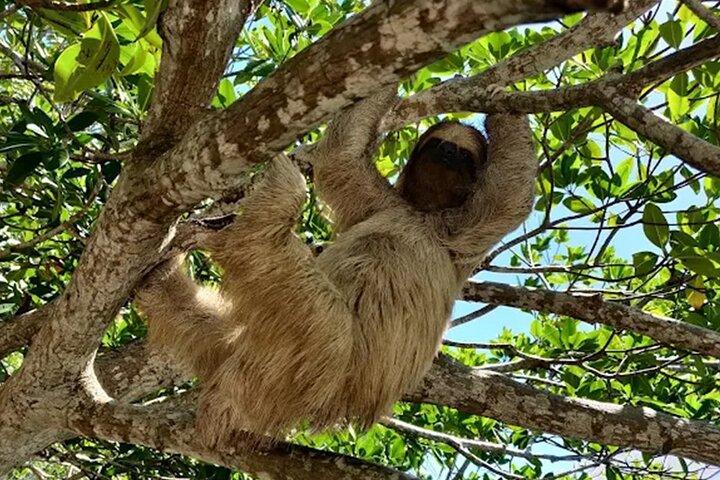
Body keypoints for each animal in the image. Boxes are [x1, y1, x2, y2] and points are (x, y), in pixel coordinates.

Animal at [135, 87, 537, 445]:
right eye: (437, 144)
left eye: (464, 154)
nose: (449, 151)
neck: (423, 213)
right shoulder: (378, 202)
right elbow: (343, 156)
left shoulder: (465, 231)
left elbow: (511, 193)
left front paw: (505, 103)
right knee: (212, 324)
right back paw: (163, 282)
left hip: (324, 350)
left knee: (271, 241)